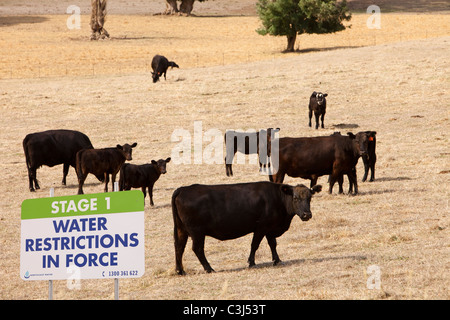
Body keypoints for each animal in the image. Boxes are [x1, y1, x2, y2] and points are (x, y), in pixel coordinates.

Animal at [172, 181, 324, 274]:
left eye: (310, 198)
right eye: (295, 198)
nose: (306, 214)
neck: (277, 198)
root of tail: (183, 189)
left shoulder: (270, 229)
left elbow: (272, 244)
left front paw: (277, 260)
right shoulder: (261, 227)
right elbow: (255, 245)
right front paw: (251, 262)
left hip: (181, 230)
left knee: (179, 247)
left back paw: (180, 270)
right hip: (197, 232)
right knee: (197, 249)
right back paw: (209, 268)